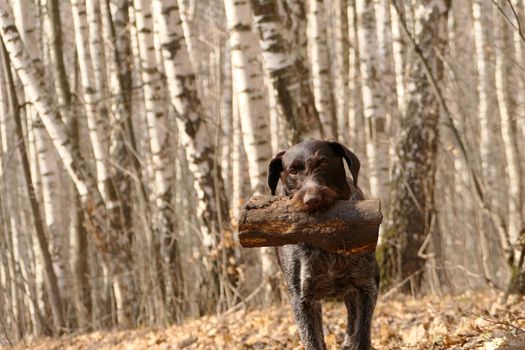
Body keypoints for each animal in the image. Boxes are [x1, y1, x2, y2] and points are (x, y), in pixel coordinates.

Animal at [268, 139, 378, 350]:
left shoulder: (367, 285)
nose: (312, 200)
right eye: (292, 171)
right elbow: (313, 340)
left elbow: (361, 333)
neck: (324, 238)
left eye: (323, 163)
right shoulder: (301, 300)